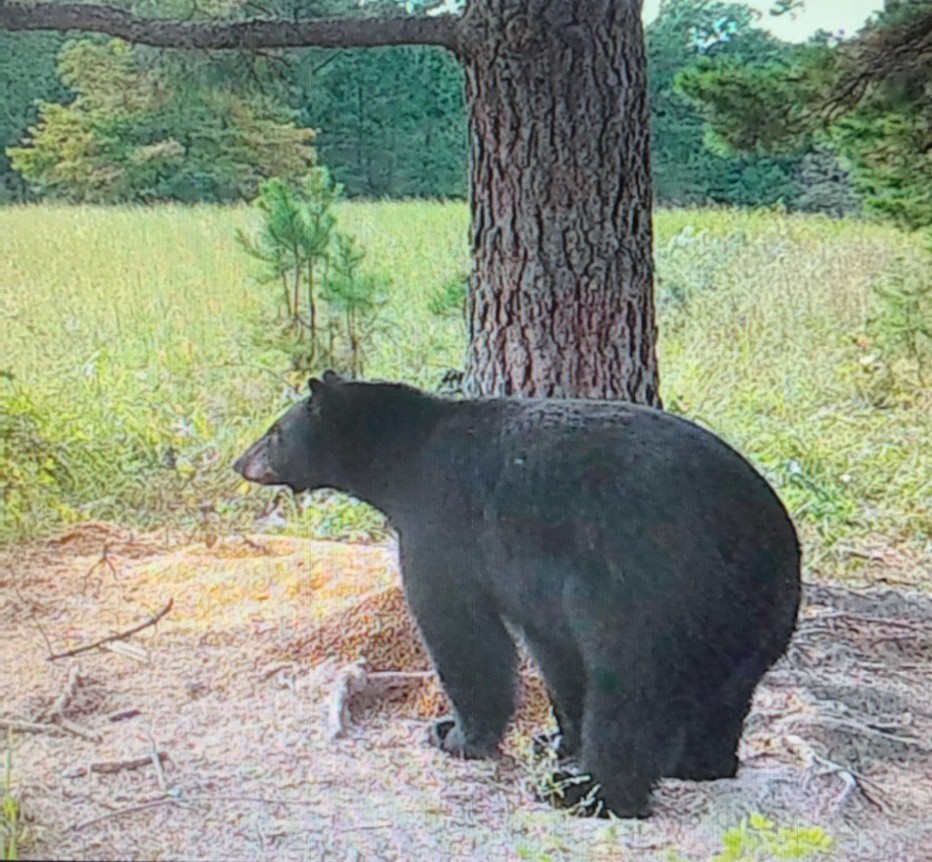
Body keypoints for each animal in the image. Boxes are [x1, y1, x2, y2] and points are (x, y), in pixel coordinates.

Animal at [233, 371, 801, 818]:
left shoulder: (441, 526)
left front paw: (457, 735)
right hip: (745, 621)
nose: (240, 461)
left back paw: (588, 792)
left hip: (659, 596)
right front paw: (557, 738)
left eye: (274, 431)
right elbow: (554, 650)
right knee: (721, 698)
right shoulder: (537, 585)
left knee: (631, 694)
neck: (403, 459)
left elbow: (462, 632)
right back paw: (700, 764)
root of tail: (768, 545)